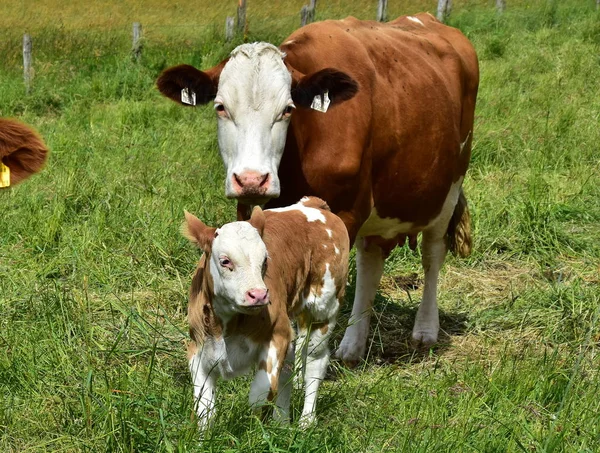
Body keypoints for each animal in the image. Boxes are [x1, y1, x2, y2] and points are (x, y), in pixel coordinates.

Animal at [157, 12, 480, 362]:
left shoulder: (347, 211)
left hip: (448, 189)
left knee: (432, 254)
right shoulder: (250, 210)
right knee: (371, 261)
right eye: (220, 107)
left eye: (287, 109)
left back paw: (425, 330)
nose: (252, 179)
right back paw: (352, 346)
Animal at [185, 197, 350, 428]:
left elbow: (260, 391)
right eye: (225, 261)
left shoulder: (279, 332)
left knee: (315, 361)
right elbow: (205, 408)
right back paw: (282, 423)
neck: (229, 325)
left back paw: (305, 422)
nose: (259, 295)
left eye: (265, 260)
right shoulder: (198, 348)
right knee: (290, 364)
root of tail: (311, 204)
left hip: (324, 306)